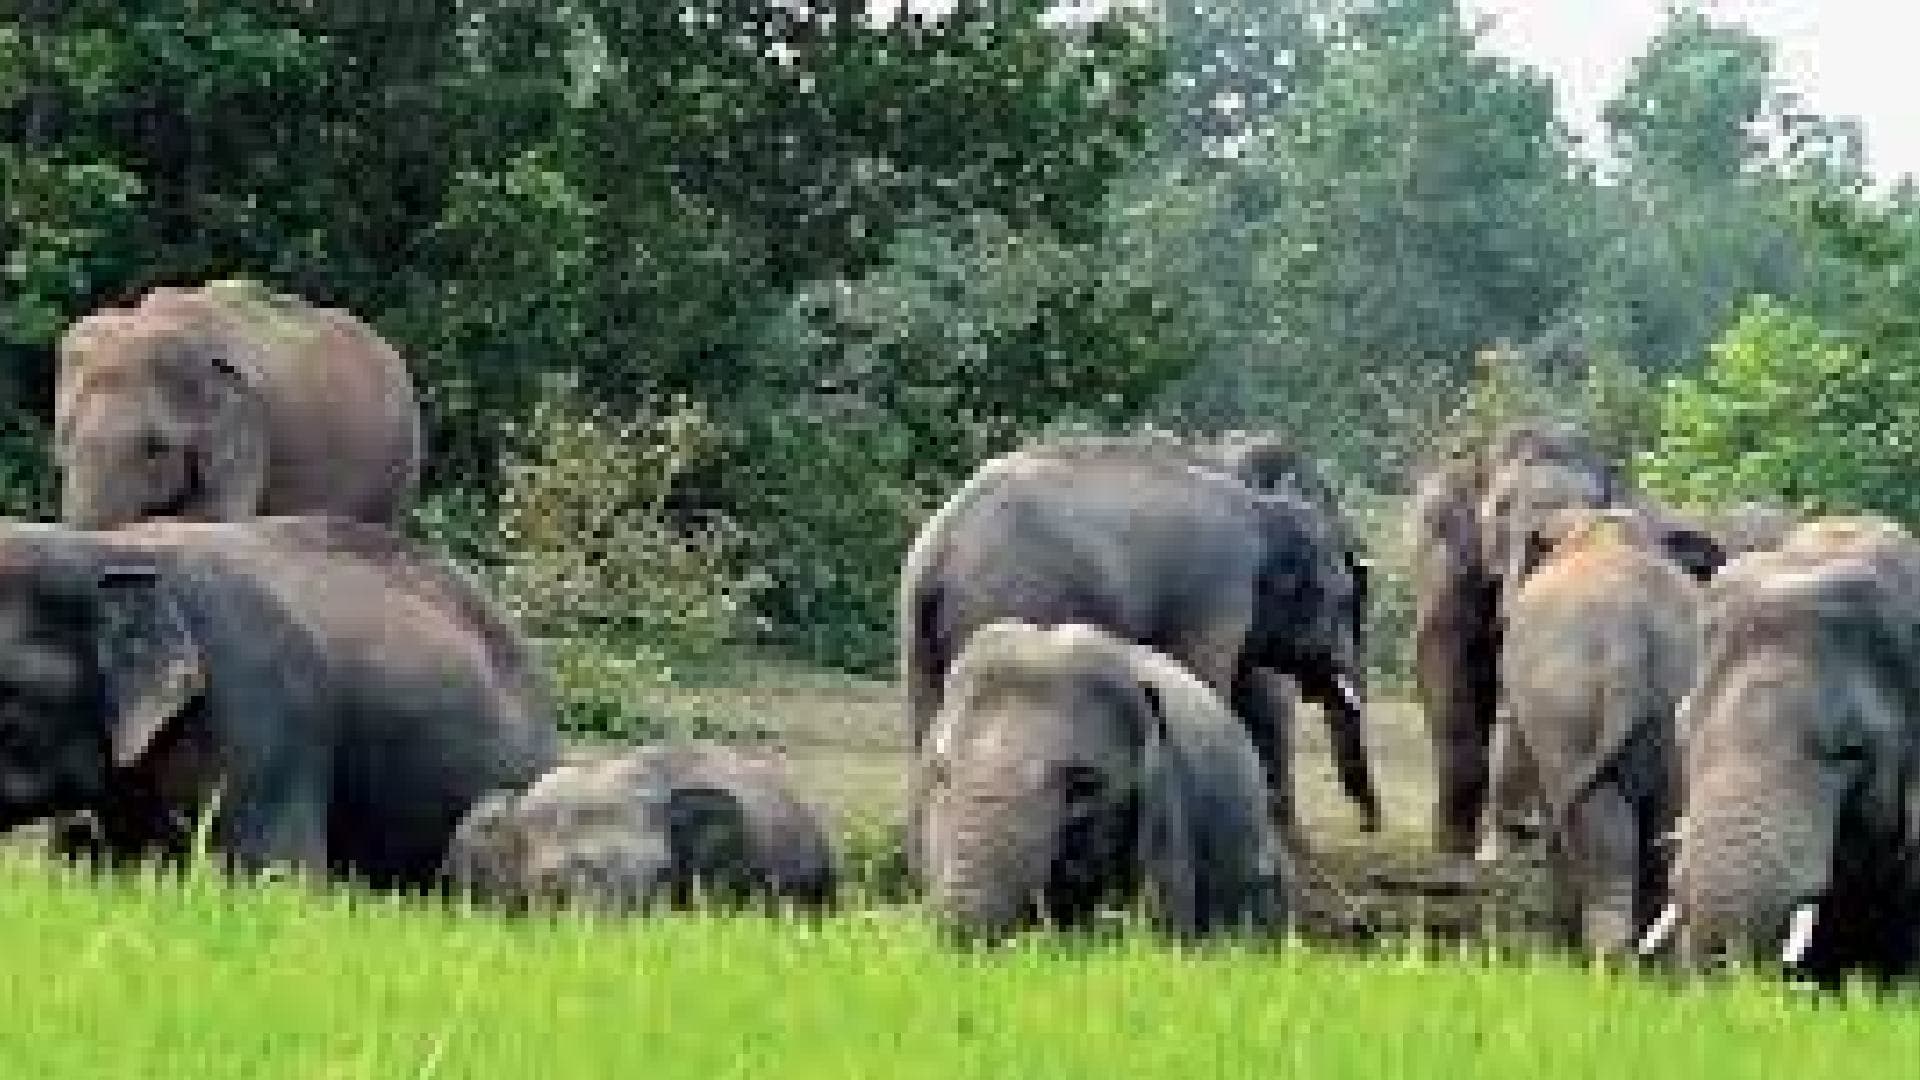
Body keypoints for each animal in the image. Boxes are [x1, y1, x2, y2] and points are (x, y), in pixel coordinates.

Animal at [900, 436, 1376, 866]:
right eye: (1343, 598)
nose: (1369, 827)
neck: (1264, 508)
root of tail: (937, 552)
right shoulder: (1217, 593)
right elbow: (1216, 685)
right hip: (1009, 598)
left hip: (917, 632)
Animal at [1484, 508, 1700, 955]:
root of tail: (1629, 637)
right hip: (1675, 699)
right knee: (1665, 821)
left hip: (1566, 702)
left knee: (1594, 822)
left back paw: (1598, 955)